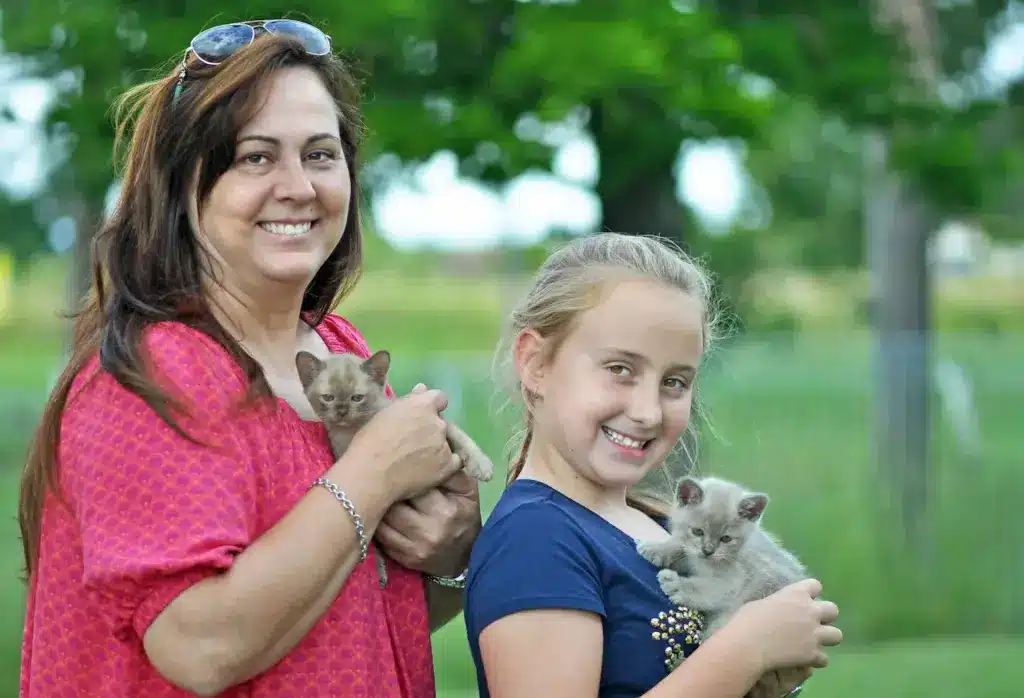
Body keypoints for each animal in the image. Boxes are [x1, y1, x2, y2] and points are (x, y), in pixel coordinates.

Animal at [296, 350, 495, 585]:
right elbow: (369, 538)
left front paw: (482, 466)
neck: (355, 430)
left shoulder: (438, 421)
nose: (342, 411)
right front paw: (380, 567)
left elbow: (460, 436)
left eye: (357, 398)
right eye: (328, 398)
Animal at [634, 472, 811, 695]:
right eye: (697, 531)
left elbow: (704, 588)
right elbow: (681, 547)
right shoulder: (693, 556)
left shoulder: (733, 581)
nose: (708, 550)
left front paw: (675, 584)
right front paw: (657, 548)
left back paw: (678, 663)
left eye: (726, 538)